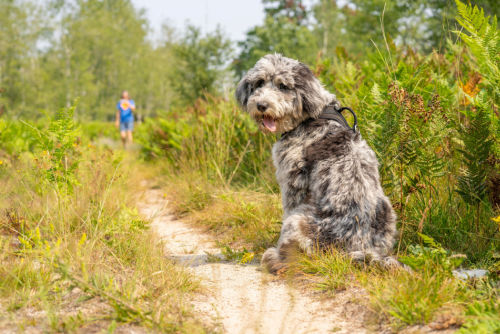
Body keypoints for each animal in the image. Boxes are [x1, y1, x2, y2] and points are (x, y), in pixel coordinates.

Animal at [235, 54, 398, 274]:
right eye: (259, 83)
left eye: (283, 86)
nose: (261, 105)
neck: (312, 115)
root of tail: (353, 249)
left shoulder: (293, 184)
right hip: (388, 213)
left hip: (298, 221)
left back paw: (276, 259)